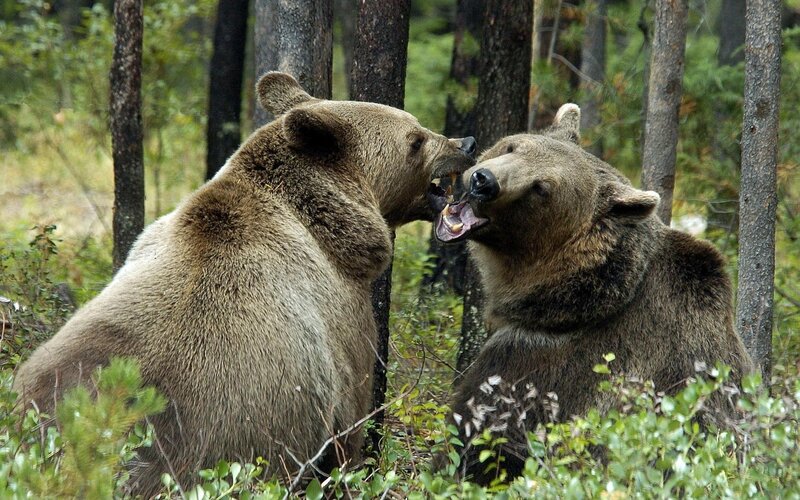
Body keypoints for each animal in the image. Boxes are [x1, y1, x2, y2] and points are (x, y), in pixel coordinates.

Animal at [13, 72, 476, 496]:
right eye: (415, 138)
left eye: (418, 126)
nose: (466, 143)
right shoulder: (342, 324)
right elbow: (351, 421)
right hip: (214, 437)